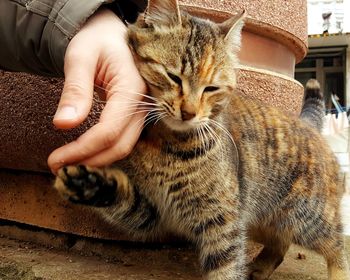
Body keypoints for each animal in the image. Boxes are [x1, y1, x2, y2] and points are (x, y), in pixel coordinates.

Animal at [53, 1, 348, 278]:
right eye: (173, 76)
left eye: (212, 88)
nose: (189, 112)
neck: (166, 144)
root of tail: (308, 124)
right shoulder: (150, 212)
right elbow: (120, 196)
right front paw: (87, 183)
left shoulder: (223, 221)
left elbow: (226, 267)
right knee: (281, 243)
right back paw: (260, 267)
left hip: (306, 218)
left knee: (337, 246)